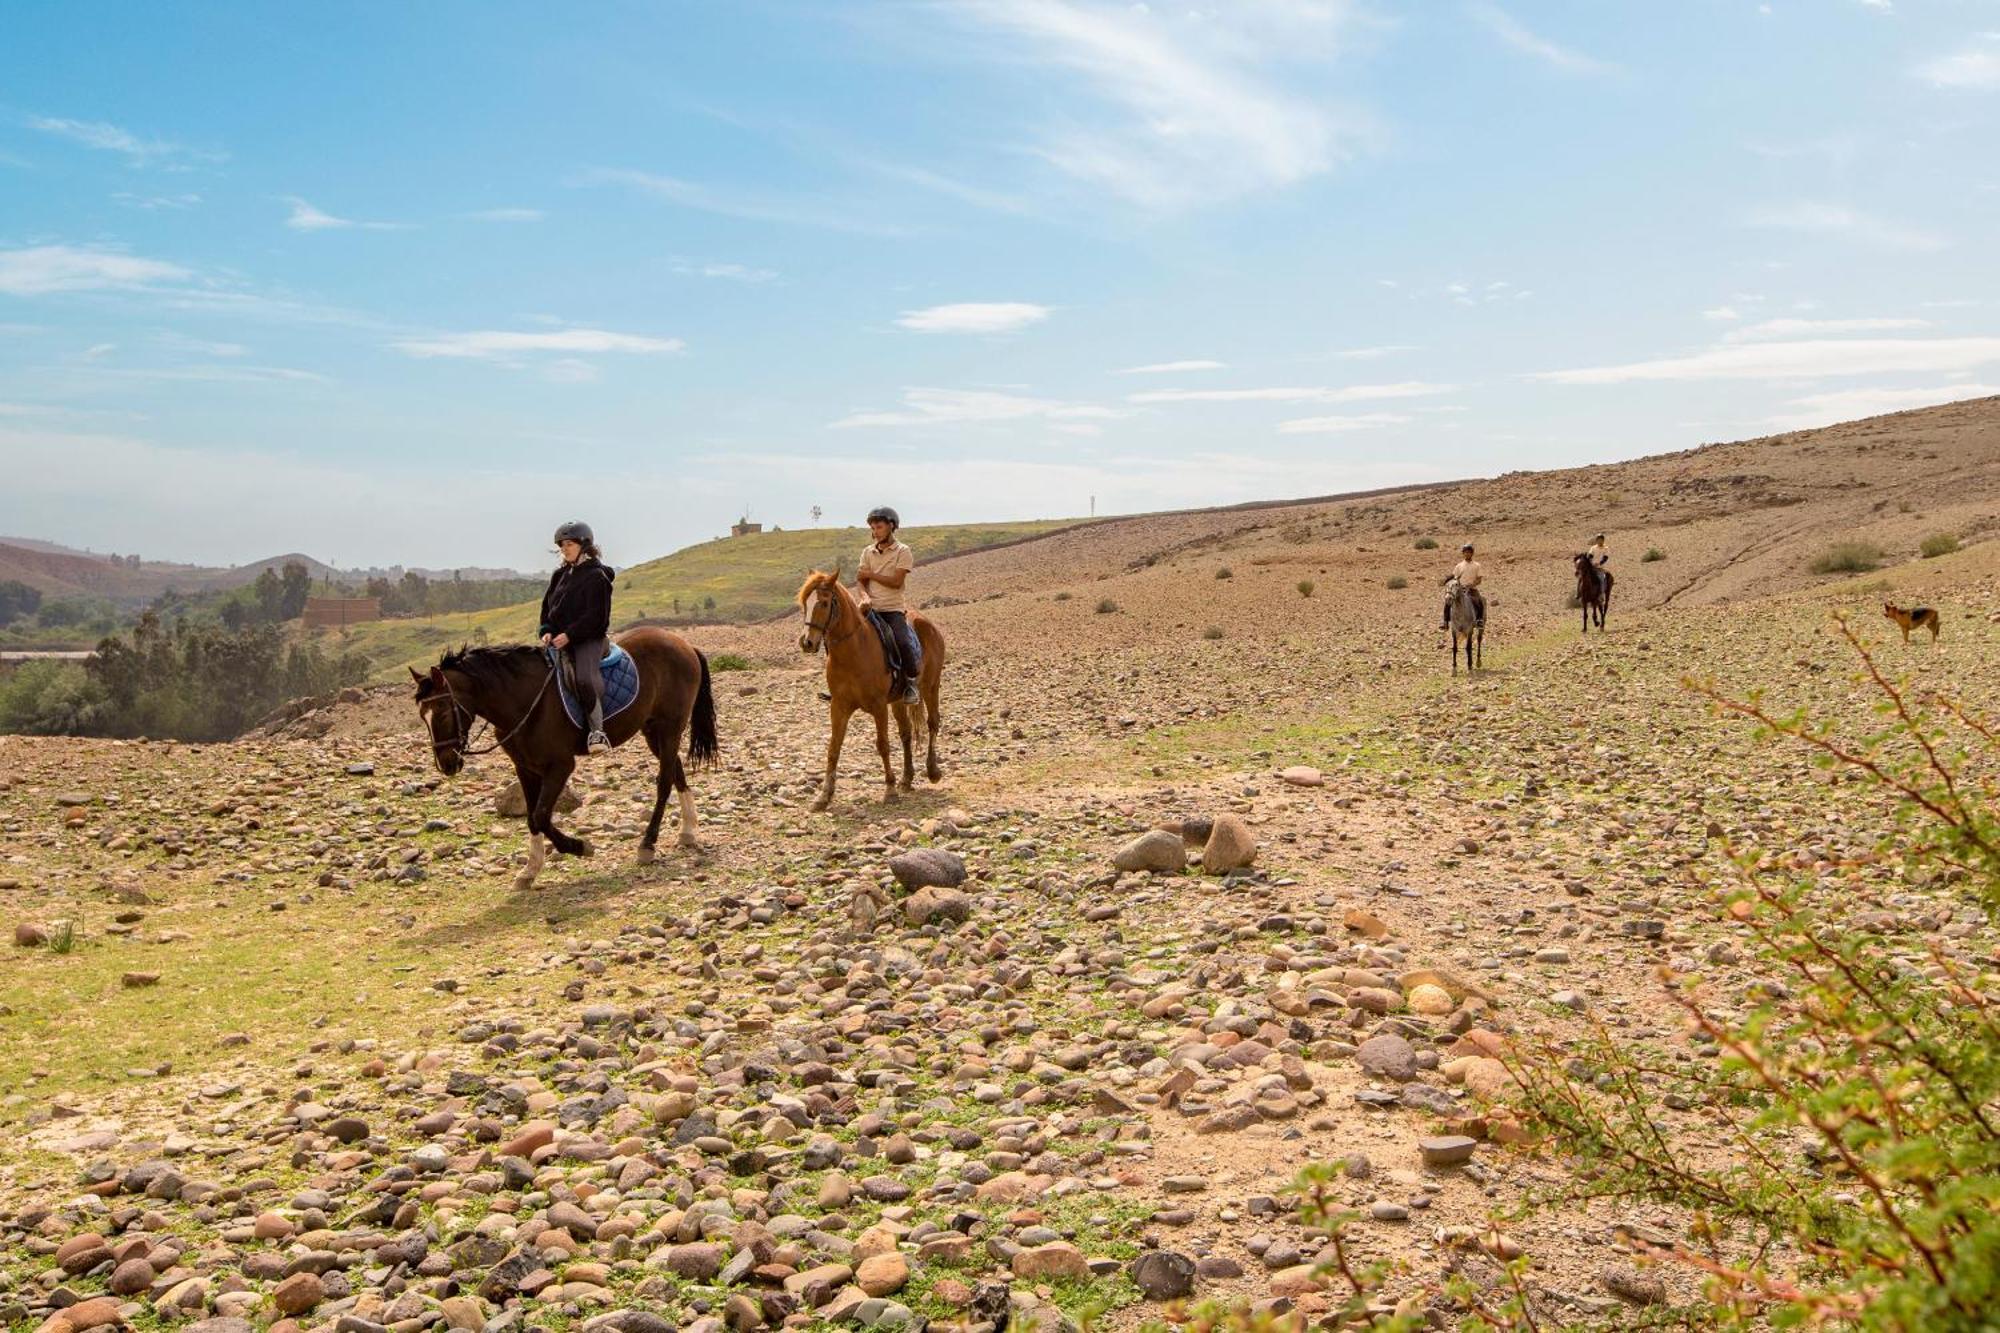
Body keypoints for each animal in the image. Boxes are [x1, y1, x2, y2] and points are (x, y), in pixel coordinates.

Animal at [410, 628, 716, 888]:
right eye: (422, 716)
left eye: (443, 712)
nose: (446, 764)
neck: (524, 700)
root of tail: (682, 643)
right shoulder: (525, 768)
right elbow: (532, 818)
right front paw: (530, 871)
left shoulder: (560, 766)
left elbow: (542, 815)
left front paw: (579, 847)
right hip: (653, 731)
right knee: (676, 771)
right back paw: (688, 832)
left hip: (670, 728)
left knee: (664, 781)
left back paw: (647, 845)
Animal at [796, 568, 944, 808]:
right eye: (804, 605)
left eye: (824, 603)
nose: (806, 642)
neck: (853, 651)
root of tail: (928, 623)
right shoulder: (839, 706)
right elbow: (833, 748)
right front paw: (824, 795)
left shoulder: (878, 706)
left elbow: (882, 744)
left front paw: (889, 789)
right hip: (899, 700)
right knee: (905, 733)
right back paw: (907, 778)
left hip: (931, 686)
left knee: (933, 723)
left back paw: (932, 771)